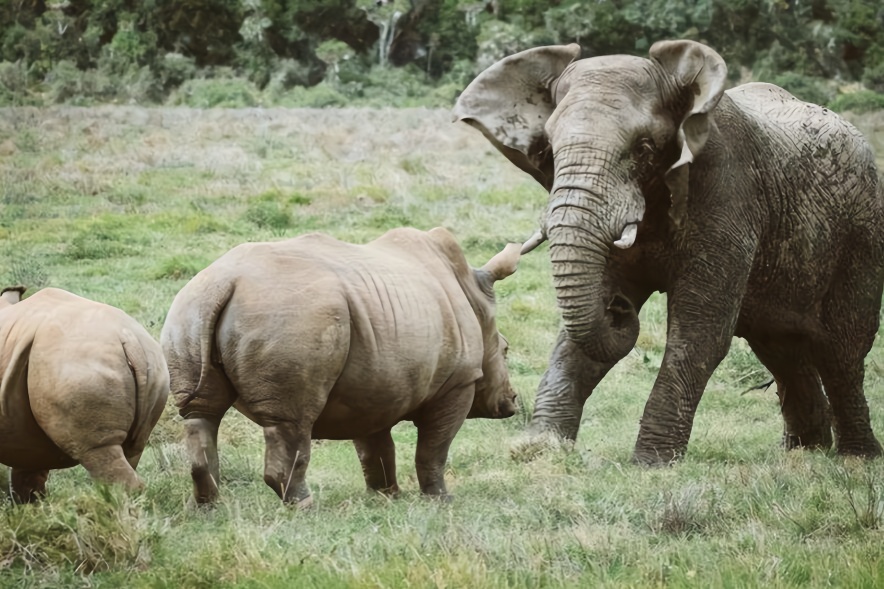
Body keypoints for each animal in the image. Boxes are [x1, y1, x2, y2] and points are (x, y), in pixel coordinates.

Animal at [162, 227, 520, 504]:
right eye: (505, 349)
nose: (512, 401)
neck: (473, 296)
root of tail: (224, 283)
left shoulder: (374, 387)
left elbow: (375, 448)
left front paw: (386, 497)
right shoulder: (458, 382)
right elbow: (434, 449)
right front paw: (441, 500)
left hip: (188, 310)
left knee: (201, 414)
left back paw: (209, 508)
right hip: (292, 314)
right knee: (292, 421)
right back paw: (305, 506)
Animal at [456, 40, 884, 464]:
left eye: (644, 148)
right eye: (550, 148)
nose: (619, 308)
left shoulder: (728, 189)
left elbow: (701, 328)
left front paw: (651, 463)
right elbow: (579, 334)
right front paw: (541, 449)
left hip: (862, 233)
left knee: (842, 349)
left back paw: (856, 457)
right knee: (779, 346)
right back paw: (804, 452)